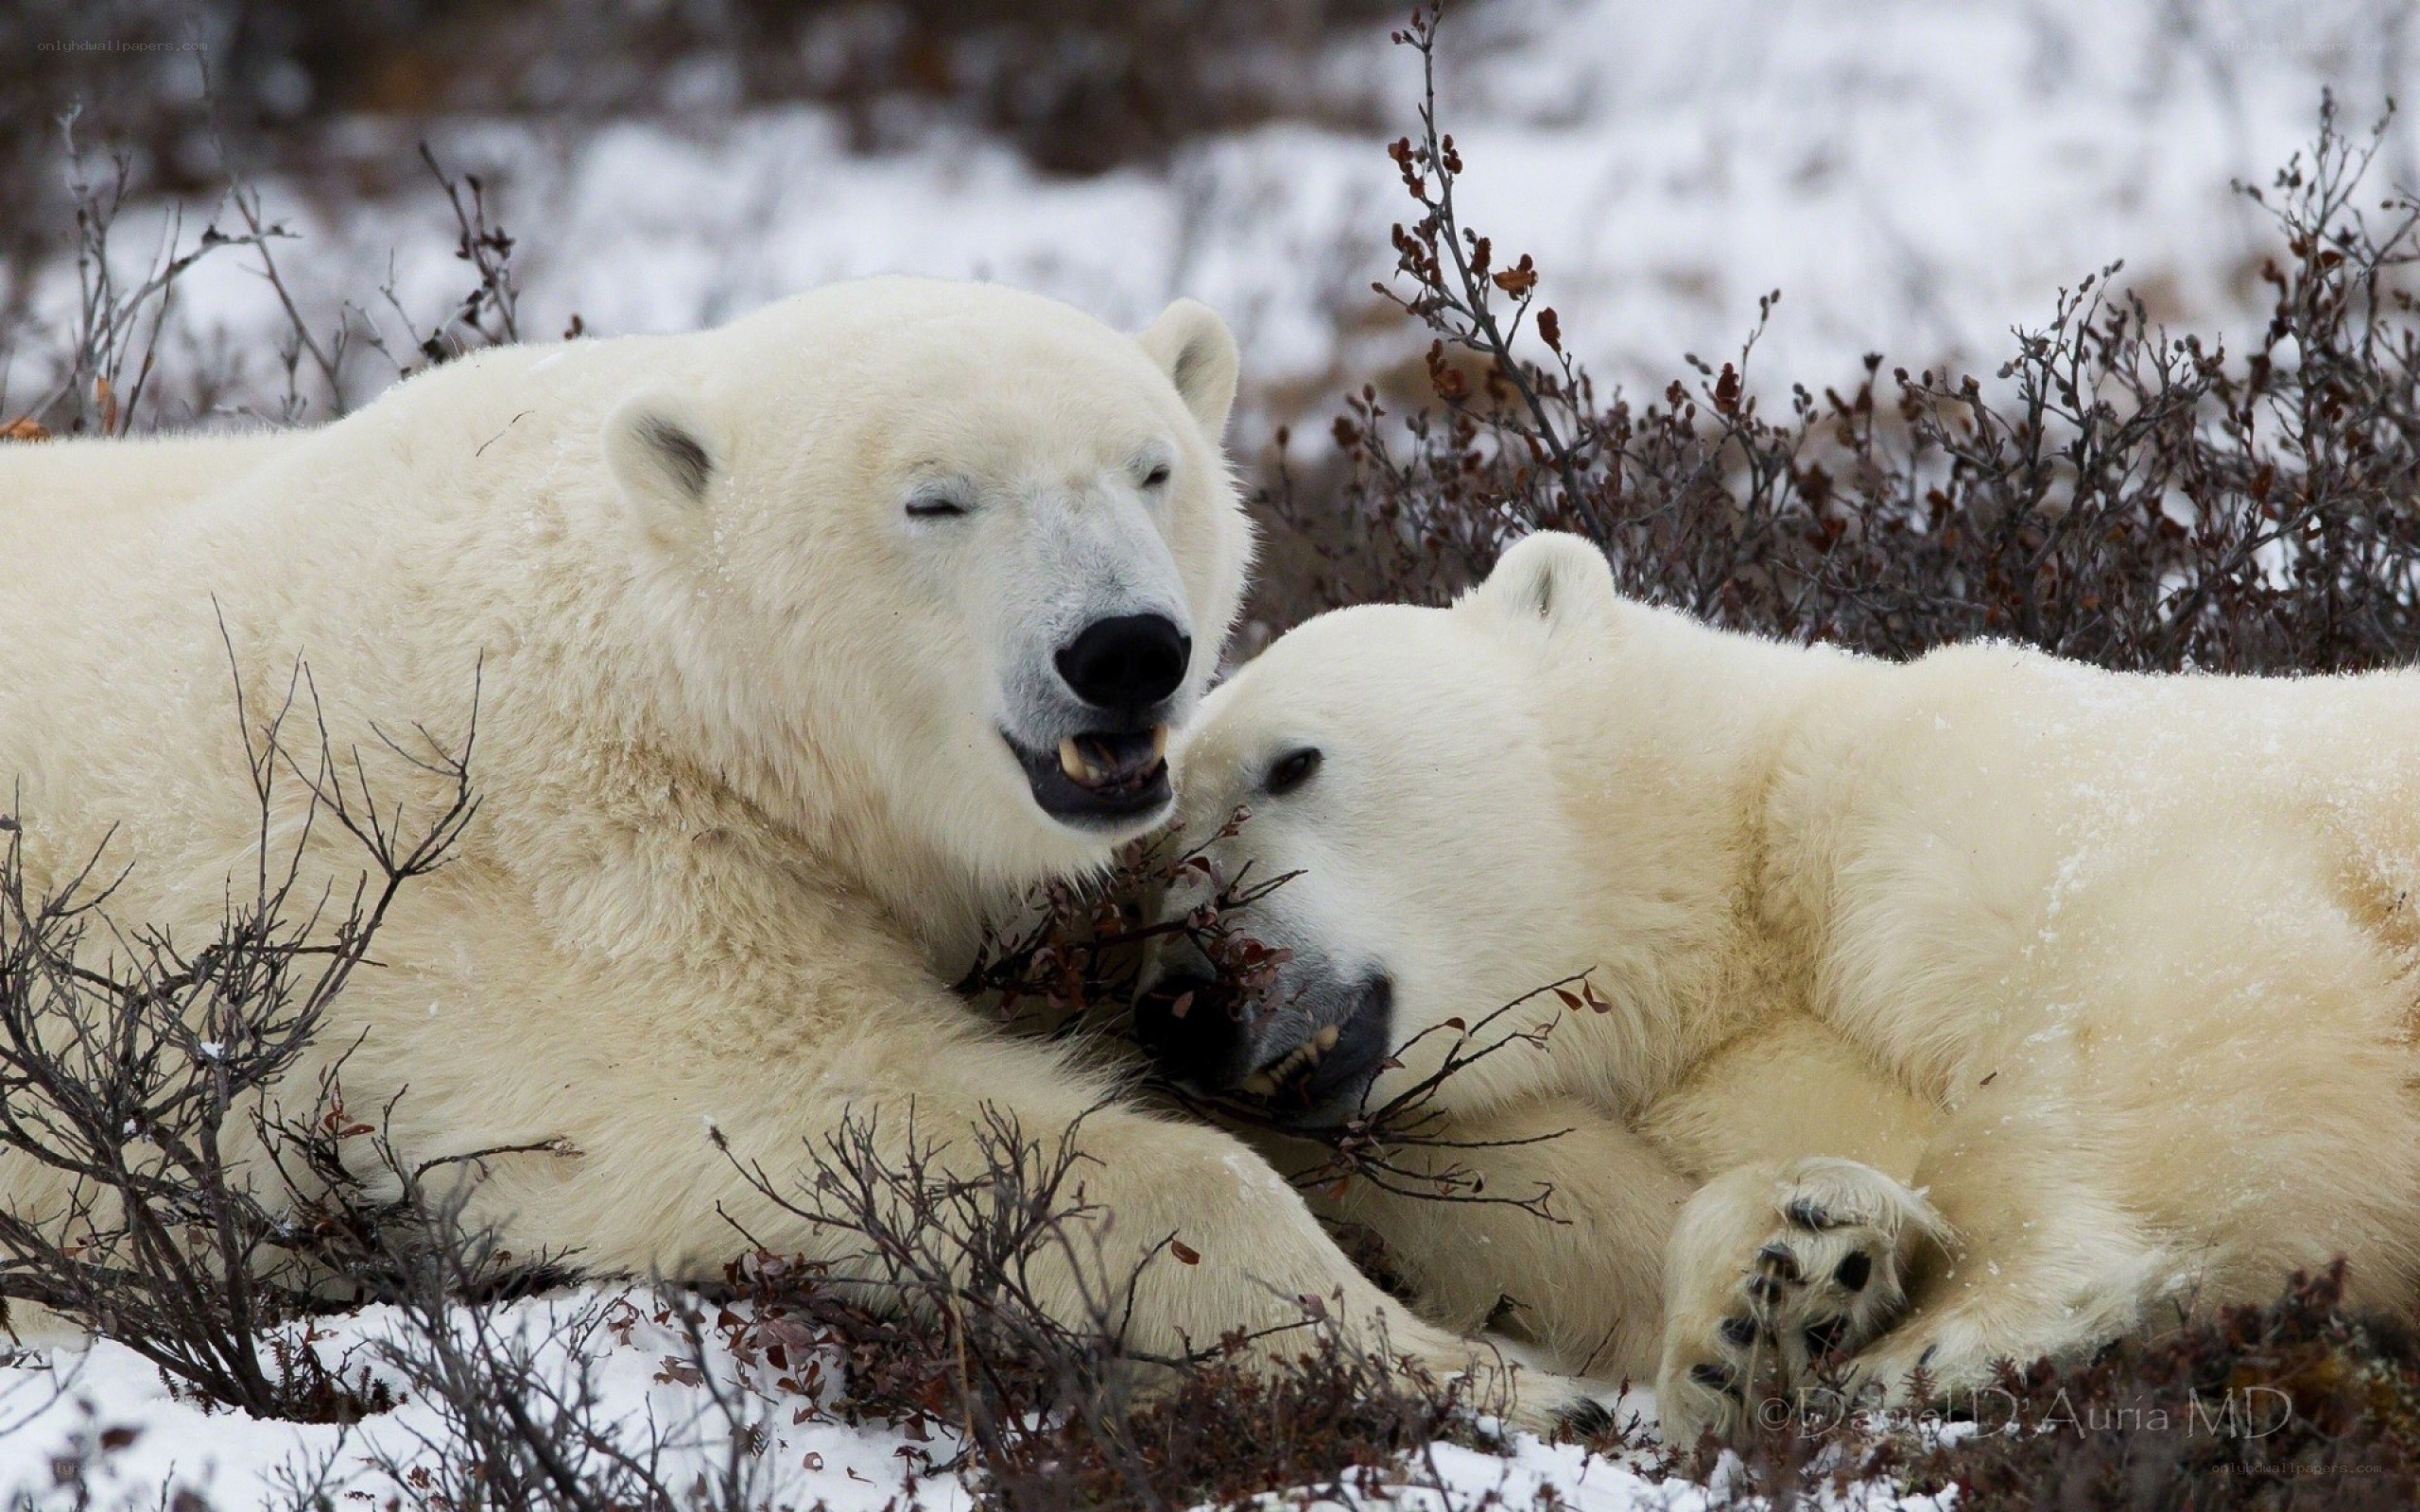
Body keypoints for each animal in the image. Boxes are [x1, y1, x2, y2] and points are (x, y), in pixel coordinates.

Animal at [0, 279, 1590, 1426]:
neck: (660, 657)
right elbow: (822, 1112)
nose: (1128, 650)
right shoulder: (558, 875)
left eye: (1153, 470)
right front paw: (1501, 1377)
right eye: (938, 498)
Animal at [1140, 529, 2420, 1444]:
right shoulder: (1733, 1067)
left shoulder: (1972, 784)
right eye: (1159, 855)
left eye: (1290, 764)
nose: (1180, 1005)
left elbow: (2188, 978)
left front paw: (1946, 1332)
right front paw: (1778, 1300)